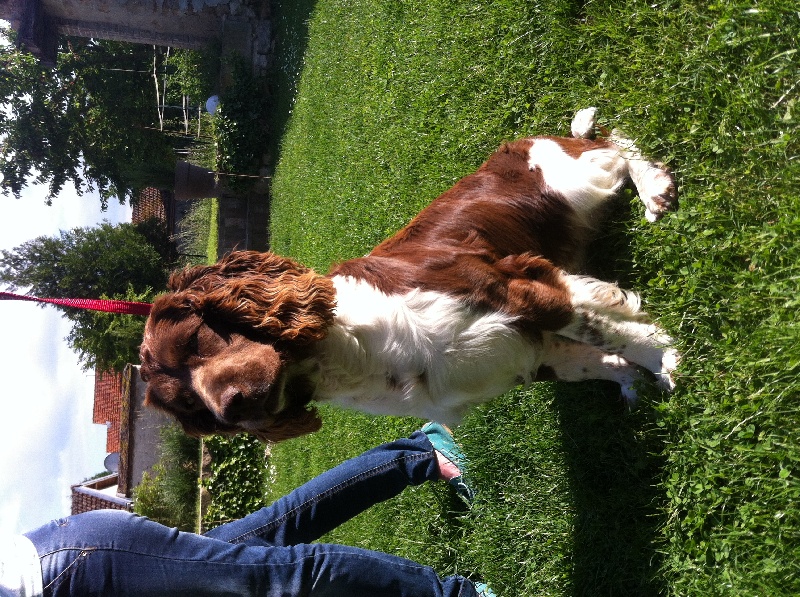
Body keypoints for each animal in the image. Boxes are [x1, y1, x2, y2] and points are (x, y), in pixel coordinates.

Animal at [139, 108, 679, 442]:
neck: (356, 350)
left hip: (577, 182)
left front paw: (668, 361)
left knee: (614, 144)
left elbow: (609, 331)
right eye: (190, 406)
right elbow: (599, 357)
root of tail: (522, 143)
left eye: (196, 338)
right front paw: (634, 378)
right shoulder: (535, 353)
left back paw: (654, 189)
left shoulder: (517, 288)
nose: (230, 408)